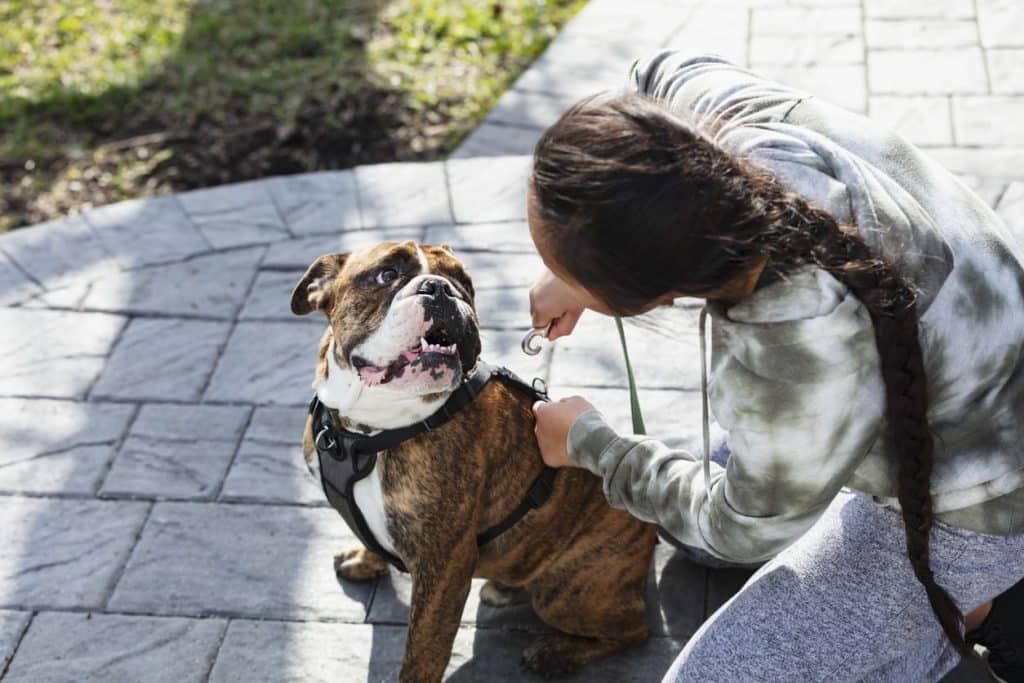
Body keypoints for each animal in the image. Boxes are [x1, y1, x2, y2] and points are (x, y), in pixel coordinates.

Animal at [292, 241, 655, 683]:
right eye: (386, 274)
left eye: (464, 283)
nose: (440, 288)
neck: (368, 429)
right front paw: (365, 559)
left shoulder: (443, 565)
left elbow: (423, 652)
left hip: (566, 594)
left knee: (635, 631)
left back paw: (555, 653)